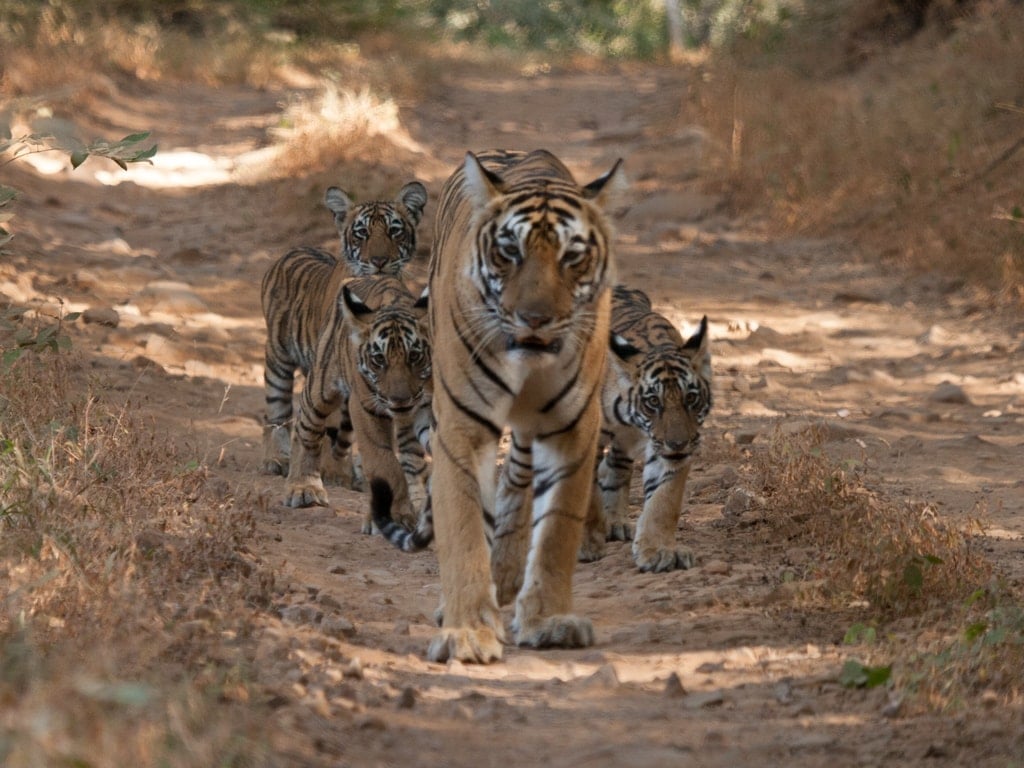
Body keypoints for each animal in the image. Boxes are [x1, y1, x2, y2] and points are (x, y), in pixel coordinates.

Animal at [264, 182, 428, 481]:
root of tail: (294, 249)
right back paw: (277, 459)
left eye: (394, 230)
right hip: (278, 359)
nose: (379, 260)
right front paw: (332, 470)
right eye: (362, 232)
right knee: (276, 412)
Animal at [278, 274, 430, 536]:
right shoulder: (365, 408)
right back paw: (304, 487)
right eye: (379, 359)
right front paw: (392, 518)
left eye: (414, 356)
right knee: (306, 429)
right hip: (320, 387)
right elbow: (385, 463)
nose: (399, 399)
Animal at [419, 151, 618, 667]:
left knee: (518, 478)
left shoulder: (572, 428)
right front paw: (467, 631)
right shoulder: (461, 426)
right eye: (509, 252)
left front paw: (548, 620)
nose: (535, 318)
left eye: (572, 257)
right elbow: (464, 524)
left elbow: (557, 533)